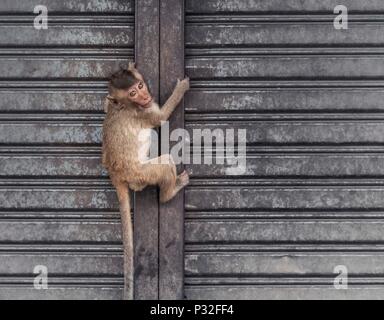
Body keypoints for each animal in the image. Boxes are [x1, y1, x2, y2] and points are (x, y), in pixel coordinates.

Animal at [101, 62, 190, 300]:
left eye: (140, 86)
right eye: (133, 93)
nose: (144, 96)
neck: (125, 106)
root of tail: (115, 173)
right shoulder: (143, 112)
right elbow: (160, 118)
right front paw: (181, 89)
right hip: (139, 172)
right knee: (162, 161)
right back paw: (170, 191)